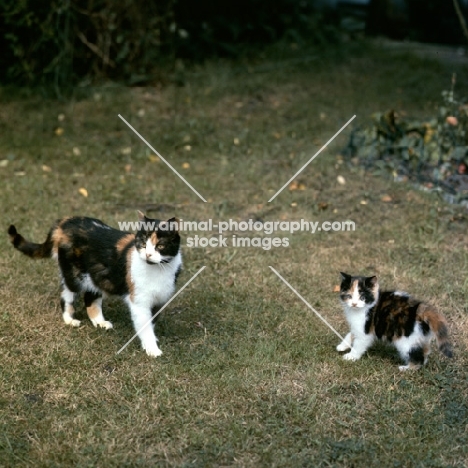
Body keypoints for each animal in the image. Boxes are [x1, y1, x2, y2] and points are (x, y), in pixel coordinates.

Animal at [8, 212, 183, 358]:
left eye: (160, 246)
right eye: (143, 243)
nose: (148, 254)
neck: (158, 270)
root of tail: (64, 222)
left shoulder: (159, 300)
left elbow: (151, 323)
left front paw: (152, 341)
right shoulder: (139, 302)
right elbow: (145, 326)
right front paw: (152, 349)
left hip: (97, 276)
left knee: (90, 298)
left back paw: (100, 322)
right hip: (75, 276)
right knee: (66, 294)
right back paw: (70, 320)